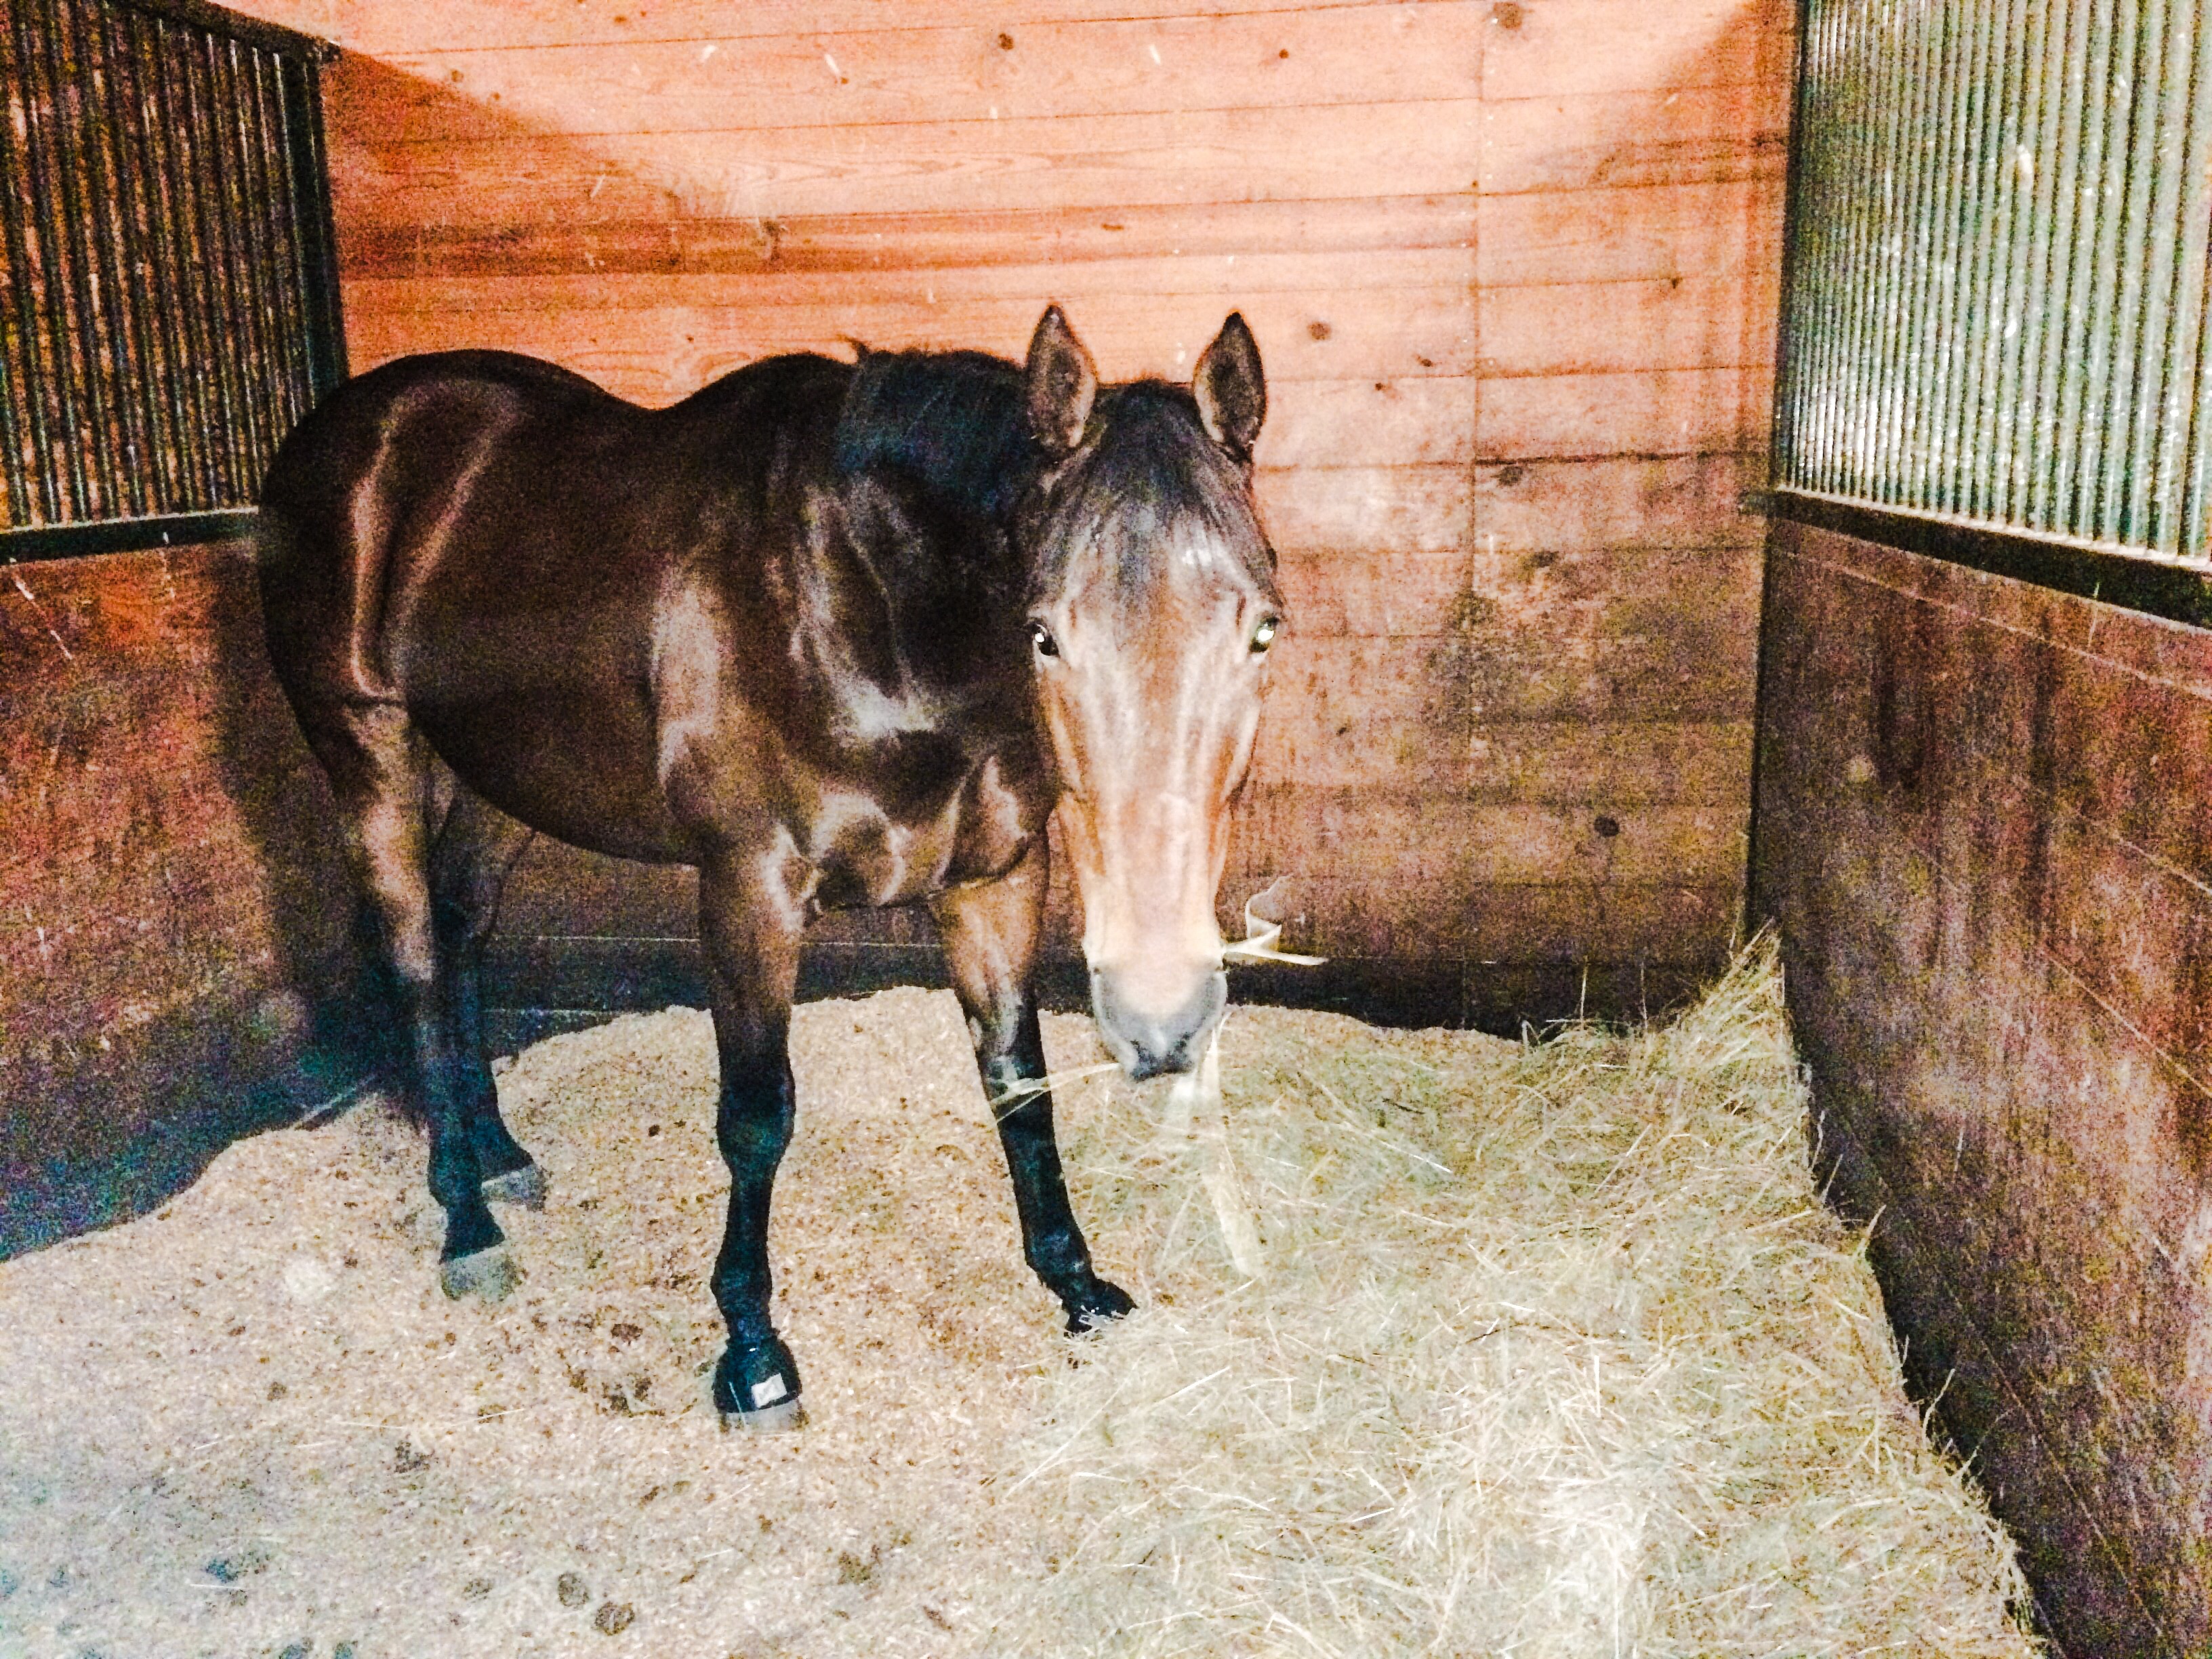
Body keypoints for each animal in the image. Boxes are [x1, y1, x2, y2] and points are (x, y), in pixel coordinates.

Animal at [255, 305, 1282, 1430]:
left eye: (1263, 630)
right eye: (1045, 634)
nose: (1161, 1014)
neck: (873, 617)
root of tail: (351, 426)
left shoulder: (995, 881)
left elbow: (1021, 1084)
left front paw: (1075, 1281)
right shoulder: (751, 891)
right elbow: (755, 1119)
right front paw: (751, 1351)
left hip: (497, 779)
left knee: (461, 934)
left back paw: (500, 1158)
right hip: (373, 756)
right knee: (415, 967)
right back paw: (466, 1223)